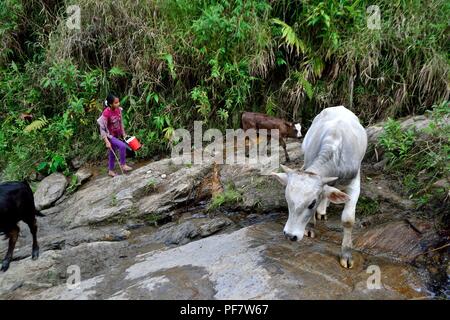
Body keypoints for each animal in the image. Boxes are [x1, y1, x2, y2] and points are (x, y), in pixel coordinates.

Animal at [272, 106, 368, 268]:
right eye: (287, 200)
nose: (290, 235)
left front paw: (346, 255)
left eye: (311, 204)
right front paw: (310, 227)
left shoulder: (354, 183)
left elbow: (348, 220)